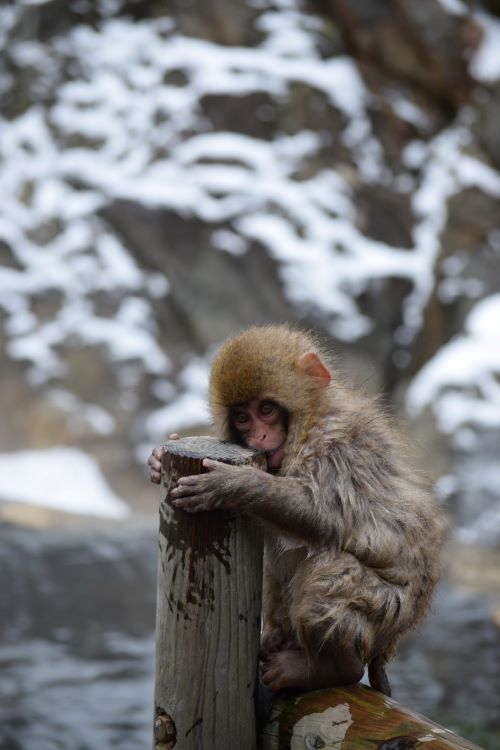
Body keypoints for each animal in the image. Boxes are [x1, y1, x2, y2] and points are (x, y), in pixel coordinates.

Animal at [147, 326, 442, 696]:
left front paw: (236, 483)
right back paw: (278, 641)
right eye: (242, 417)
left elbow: (329, 517)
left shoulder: (336, 447)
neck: (310, 418)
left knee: (328, 572)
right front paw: (158, 460)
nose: (259, 436)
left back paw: (332, 669)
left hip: (388, 613)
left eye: (267, 409)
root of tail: (392, 643)